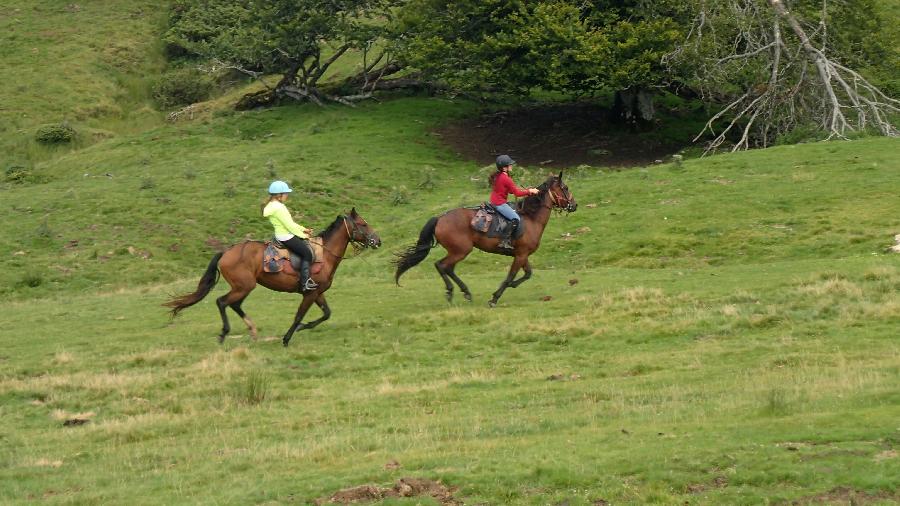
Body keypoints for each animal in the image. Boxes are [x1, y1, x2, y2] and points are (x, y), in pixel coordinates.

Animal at [165, 208, 380, 346]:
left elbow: (326, 313)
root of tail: (226, 252)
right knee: (222, 302)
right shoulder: (309, 294)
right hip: (244, 286)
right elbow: (299, 315)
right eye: (363, 224)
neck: (324, 255)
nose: (378, 240)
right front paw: (287, 338)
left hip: (244, 287)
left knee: (234, 304)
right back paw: (224, 333)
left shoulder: (318, 293)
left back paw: (252, 330)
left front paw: (303, 327)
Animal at [394, 172, 576, 306]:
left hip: (458, 251)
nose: (574, 205)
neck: (531, 218)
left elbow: (527, 274)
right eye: (565, 187)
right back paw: (451, 291)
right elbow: (511, 276)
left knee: (448, 268)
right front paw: (495, 297)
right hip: (461, 250)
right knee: (442, 265)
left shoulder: (522, 255)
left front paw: (510, 286)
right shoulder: (521, 255)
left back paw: (465, 292)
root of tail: (440, 218)